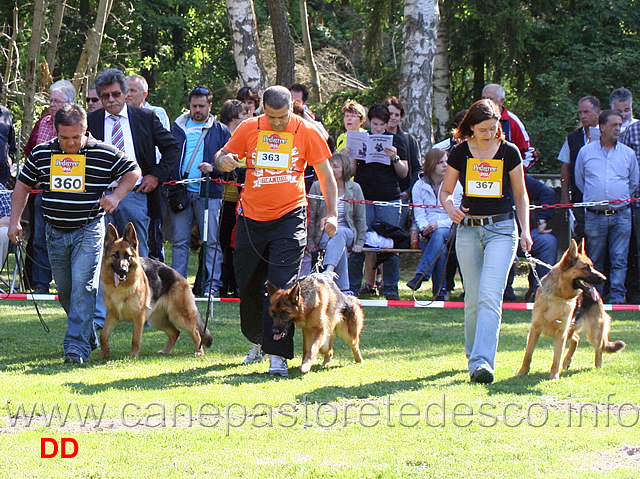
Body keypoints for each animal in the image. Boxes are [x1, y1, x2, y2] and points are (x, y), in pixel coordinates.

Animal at [99, 223, 211, 358]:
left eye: (128, 256)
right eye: (115, 255)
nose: (122, 270)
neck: (122, 288)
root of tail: (180, 276)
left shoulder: (138, 318)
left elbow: (136, 339)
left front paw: (133, 356)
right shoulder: (112, 315)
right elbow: (103, 336)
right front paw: (104, 354)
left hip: (178, 315)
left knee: (195, 331)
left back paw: (199, 351)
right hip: (157, 320)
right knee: (175, 332)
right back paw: (166, 351)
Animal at [516, 240, 624, 382]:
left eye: (592, 266)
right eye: (586, 268)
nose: (604, 279)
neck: (558, 297)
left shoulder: (561, 334)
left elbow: (556, 359)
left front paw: (554, 377)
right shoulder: (535, 330)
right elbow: (528, 354)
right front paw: (522, 373)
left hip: (593, 334)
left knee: (599, 348)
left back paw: (597, 366)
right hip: (572, 330)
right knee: (577, 339)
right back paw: (567, 361)